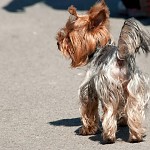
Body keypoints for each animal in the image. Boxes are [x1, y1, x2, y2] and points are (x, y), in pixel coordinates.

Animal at [56, 0, 150, 143]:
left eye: (69, 36)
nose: (58, 42)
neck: (100, 47)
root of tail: (119, 58)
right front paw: (122, 120)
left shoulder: (88, 88)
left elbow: (88, 109)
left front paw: (87, 129)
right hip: (135, 89)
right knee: (134, 112)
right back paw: (135, 136)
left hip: (108, 90)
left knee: (109, 113)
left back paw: (108, 137)